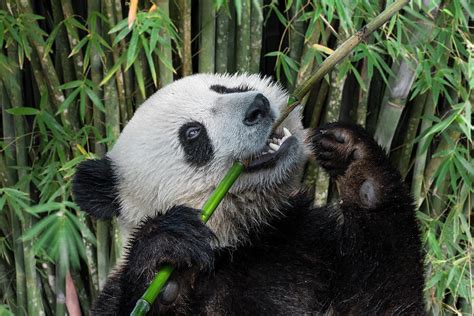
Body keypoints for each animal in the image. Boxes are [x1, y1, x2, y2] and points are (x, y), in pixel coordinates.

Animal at [74, 73, 426, 314]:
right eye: (192, 133)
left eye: (225, 89)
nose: (257, 107)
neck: (238, 243)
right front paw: (166, 264)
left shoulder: (303, 243)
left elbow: (382, 297)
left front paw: (354, 160)